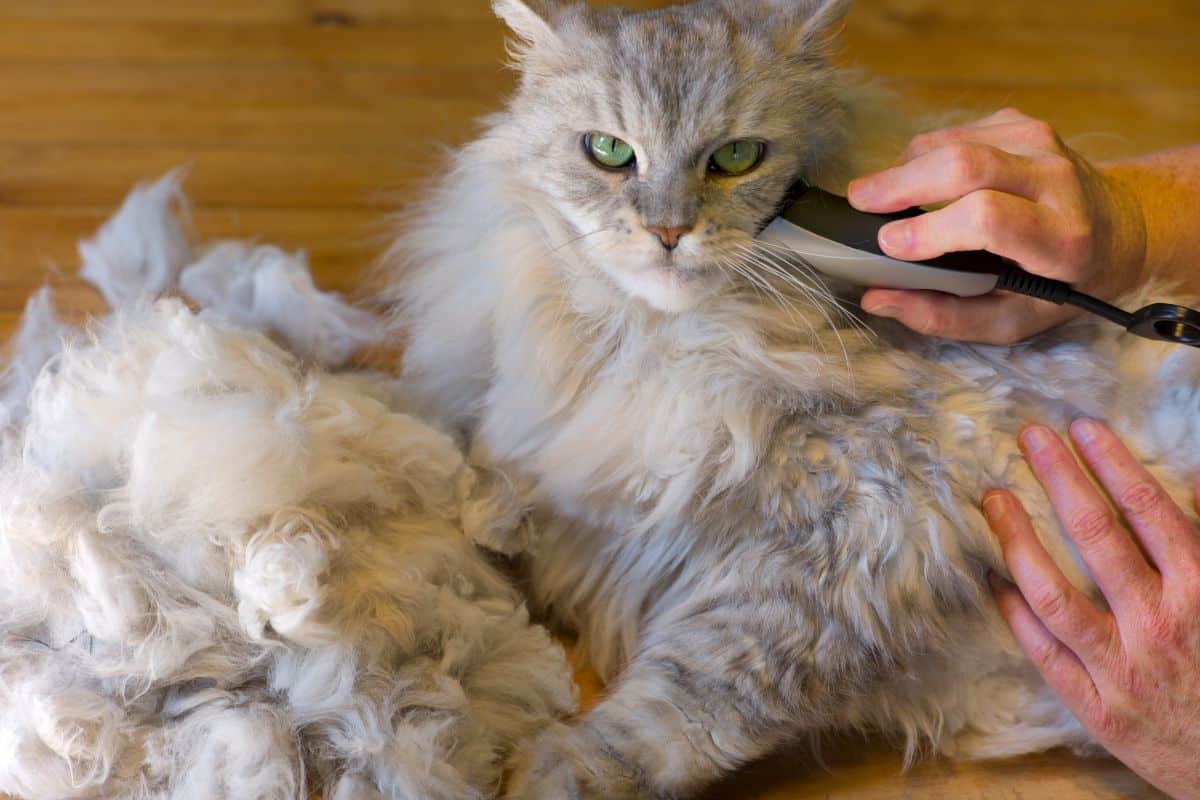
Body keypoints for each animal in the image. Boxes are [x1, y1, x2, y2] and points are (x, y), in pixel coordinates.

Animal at [384, 1, 1200, 796]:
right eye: (610, 152)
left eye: (736, 158)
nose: (668, 230)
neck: (677, 349)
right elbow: (486, 482)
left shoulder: (868, 538)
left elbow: (685, 704)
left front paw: (550, 771)